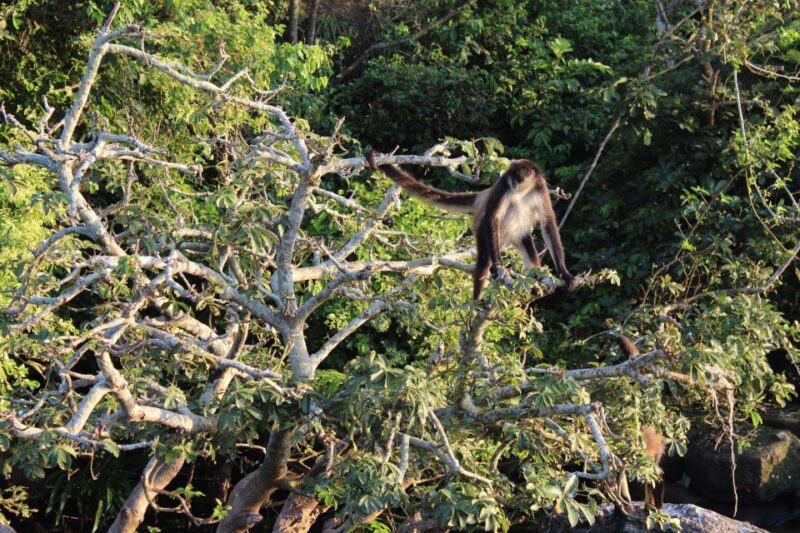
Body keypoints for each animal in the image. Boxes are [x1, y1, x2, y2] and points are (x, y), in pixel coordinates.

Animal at [365, 150, 578, 299]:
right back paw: (477, 302)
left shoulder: (539, 188)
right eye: (512, 176)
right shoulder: (503, 184)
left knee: (531, 254)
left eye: (520, 178)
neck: (523, 191)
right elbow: (493, 217)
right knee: (484, 259)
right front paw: (499, 266)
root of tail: (482, 196)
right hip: (483, 229)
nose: (514, 183)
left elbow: (548, 223)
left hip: (516, 234)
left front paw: (564, 274)